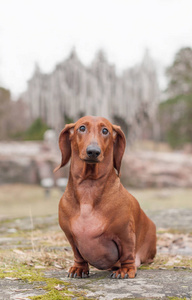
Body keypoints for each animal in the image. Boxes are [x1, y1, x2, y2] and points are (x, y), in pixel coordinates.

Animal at [55, 115, 156, 278]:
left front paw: (126, 269)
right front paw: (79, 268)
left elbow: (127, 253)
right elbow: (78, 255)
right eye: (81, 128)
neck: (88, 189)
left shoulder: (125, 234)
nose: (93, 151)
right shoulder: (70, 236)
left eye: (105, 131)